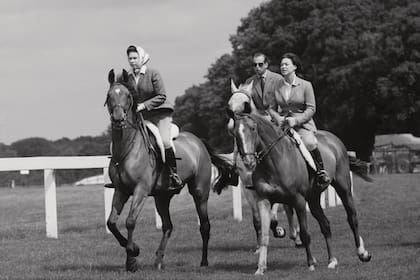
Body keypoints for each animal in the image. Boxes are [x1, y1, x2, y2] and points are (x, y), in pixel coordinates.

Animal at [231, 106, 372, 274]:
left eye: (253, 129)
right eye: (235, 133)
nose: (248, 162)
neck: (273, 162)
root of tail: (334, 139)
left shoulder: (298, 200)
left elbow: (304, 233)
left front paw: (311, 263)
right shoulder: (263, 201)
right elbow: (264, 235)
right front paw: (260, 268)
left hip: (343, 188)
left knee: (352, 218)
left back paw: (362, 253)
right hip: (313, 199)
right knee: (325, 224)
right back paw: (332, 260)